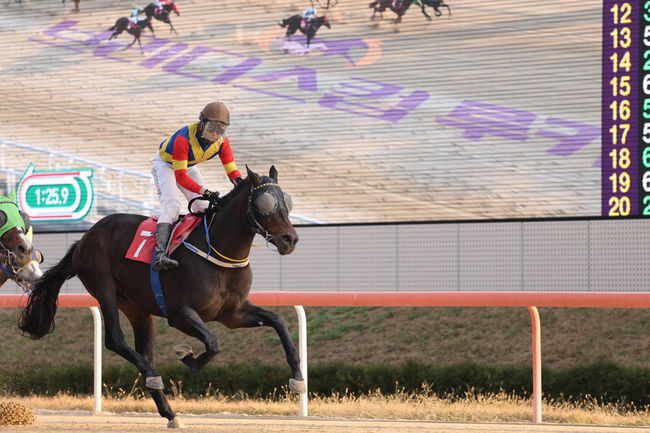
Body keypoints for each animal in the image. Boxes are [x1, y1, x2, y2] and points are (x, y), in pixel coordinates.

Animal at [19, 167, 302, 426]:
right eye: (266, 203)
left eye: (286, 201)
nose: (290, 239)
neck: (217, 252)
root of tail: (84, 238)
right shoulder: (180, 314)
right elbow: (213, 342)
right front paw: (188, 357)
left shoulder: (232, 313)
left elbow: (277, 320)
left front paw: (297, 378)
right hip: (103, 285)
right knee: (115, 339)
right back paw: (154, 377)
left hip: (137, 307)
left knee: (144, 351)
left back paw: (169, 411)